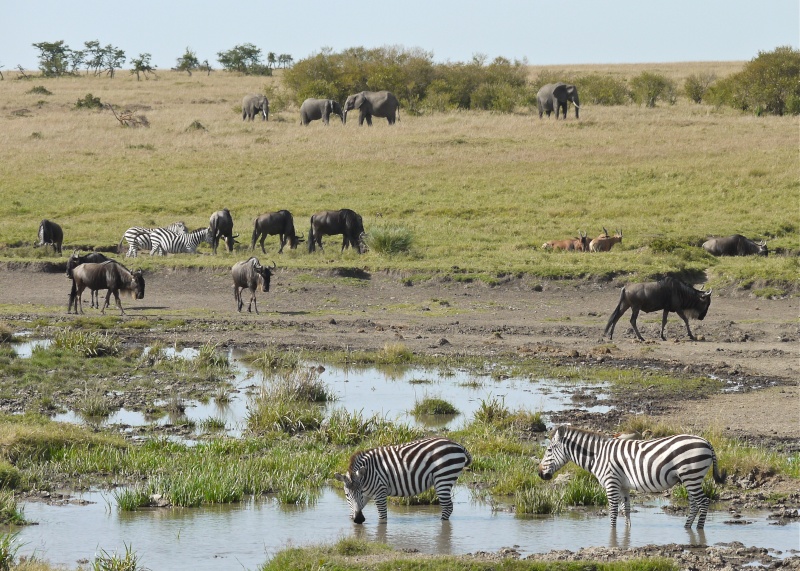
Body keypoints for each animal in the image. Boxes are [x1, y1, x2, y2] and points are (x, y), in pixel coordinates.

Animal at [334, 438, 472, 528]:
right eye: (347, 495)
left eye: (360, 491)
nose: (359, 520)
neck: (368, 475)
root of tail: (458, 445)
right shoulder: (366, 495)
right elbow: (355, 509)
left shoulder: (380, 492)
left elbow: (382, 517)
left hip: (443, 477)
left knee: (448, 507)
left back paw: (441, 524)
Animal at [536, 426, 724, 528]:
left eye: (549, 450)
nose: (539, 474)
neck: (597, 455)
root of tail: (707, 442)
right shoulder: (623, 486)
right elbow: (625, 510)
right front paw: (626, 533)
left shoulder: (611, 482)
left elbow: (613, 511)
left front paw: (611, 533)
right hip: (690, 478)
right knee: (694, 504)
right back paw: (687, 528)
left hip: (691, 475)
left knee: (703, 502)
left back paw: (698, 530)